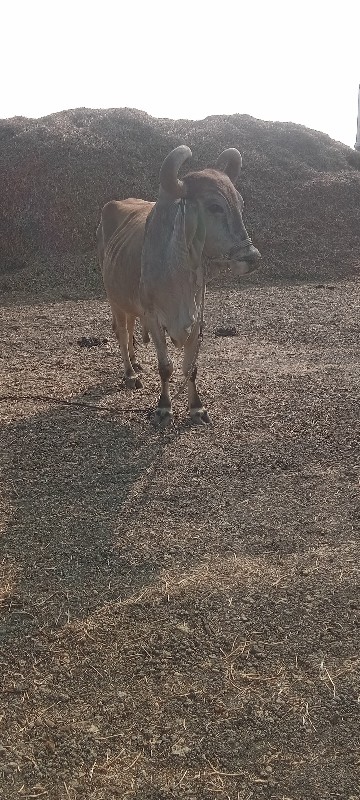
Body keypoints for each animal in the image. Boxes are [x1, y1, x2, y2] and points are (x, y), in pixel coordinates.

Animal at [97, 147, 260, 428]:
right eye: (214, 206)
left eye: (240, 204)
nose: (252, 257)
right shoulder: (153, 317)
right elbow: (166, 367)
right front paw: (164, 408)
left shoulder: (197, 318)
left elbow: (190, 368)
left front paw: (196, 408)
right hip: (114, 299)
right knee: (121, 333)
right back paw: (130, 374)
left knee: (130, 329)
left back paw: (136, 364)